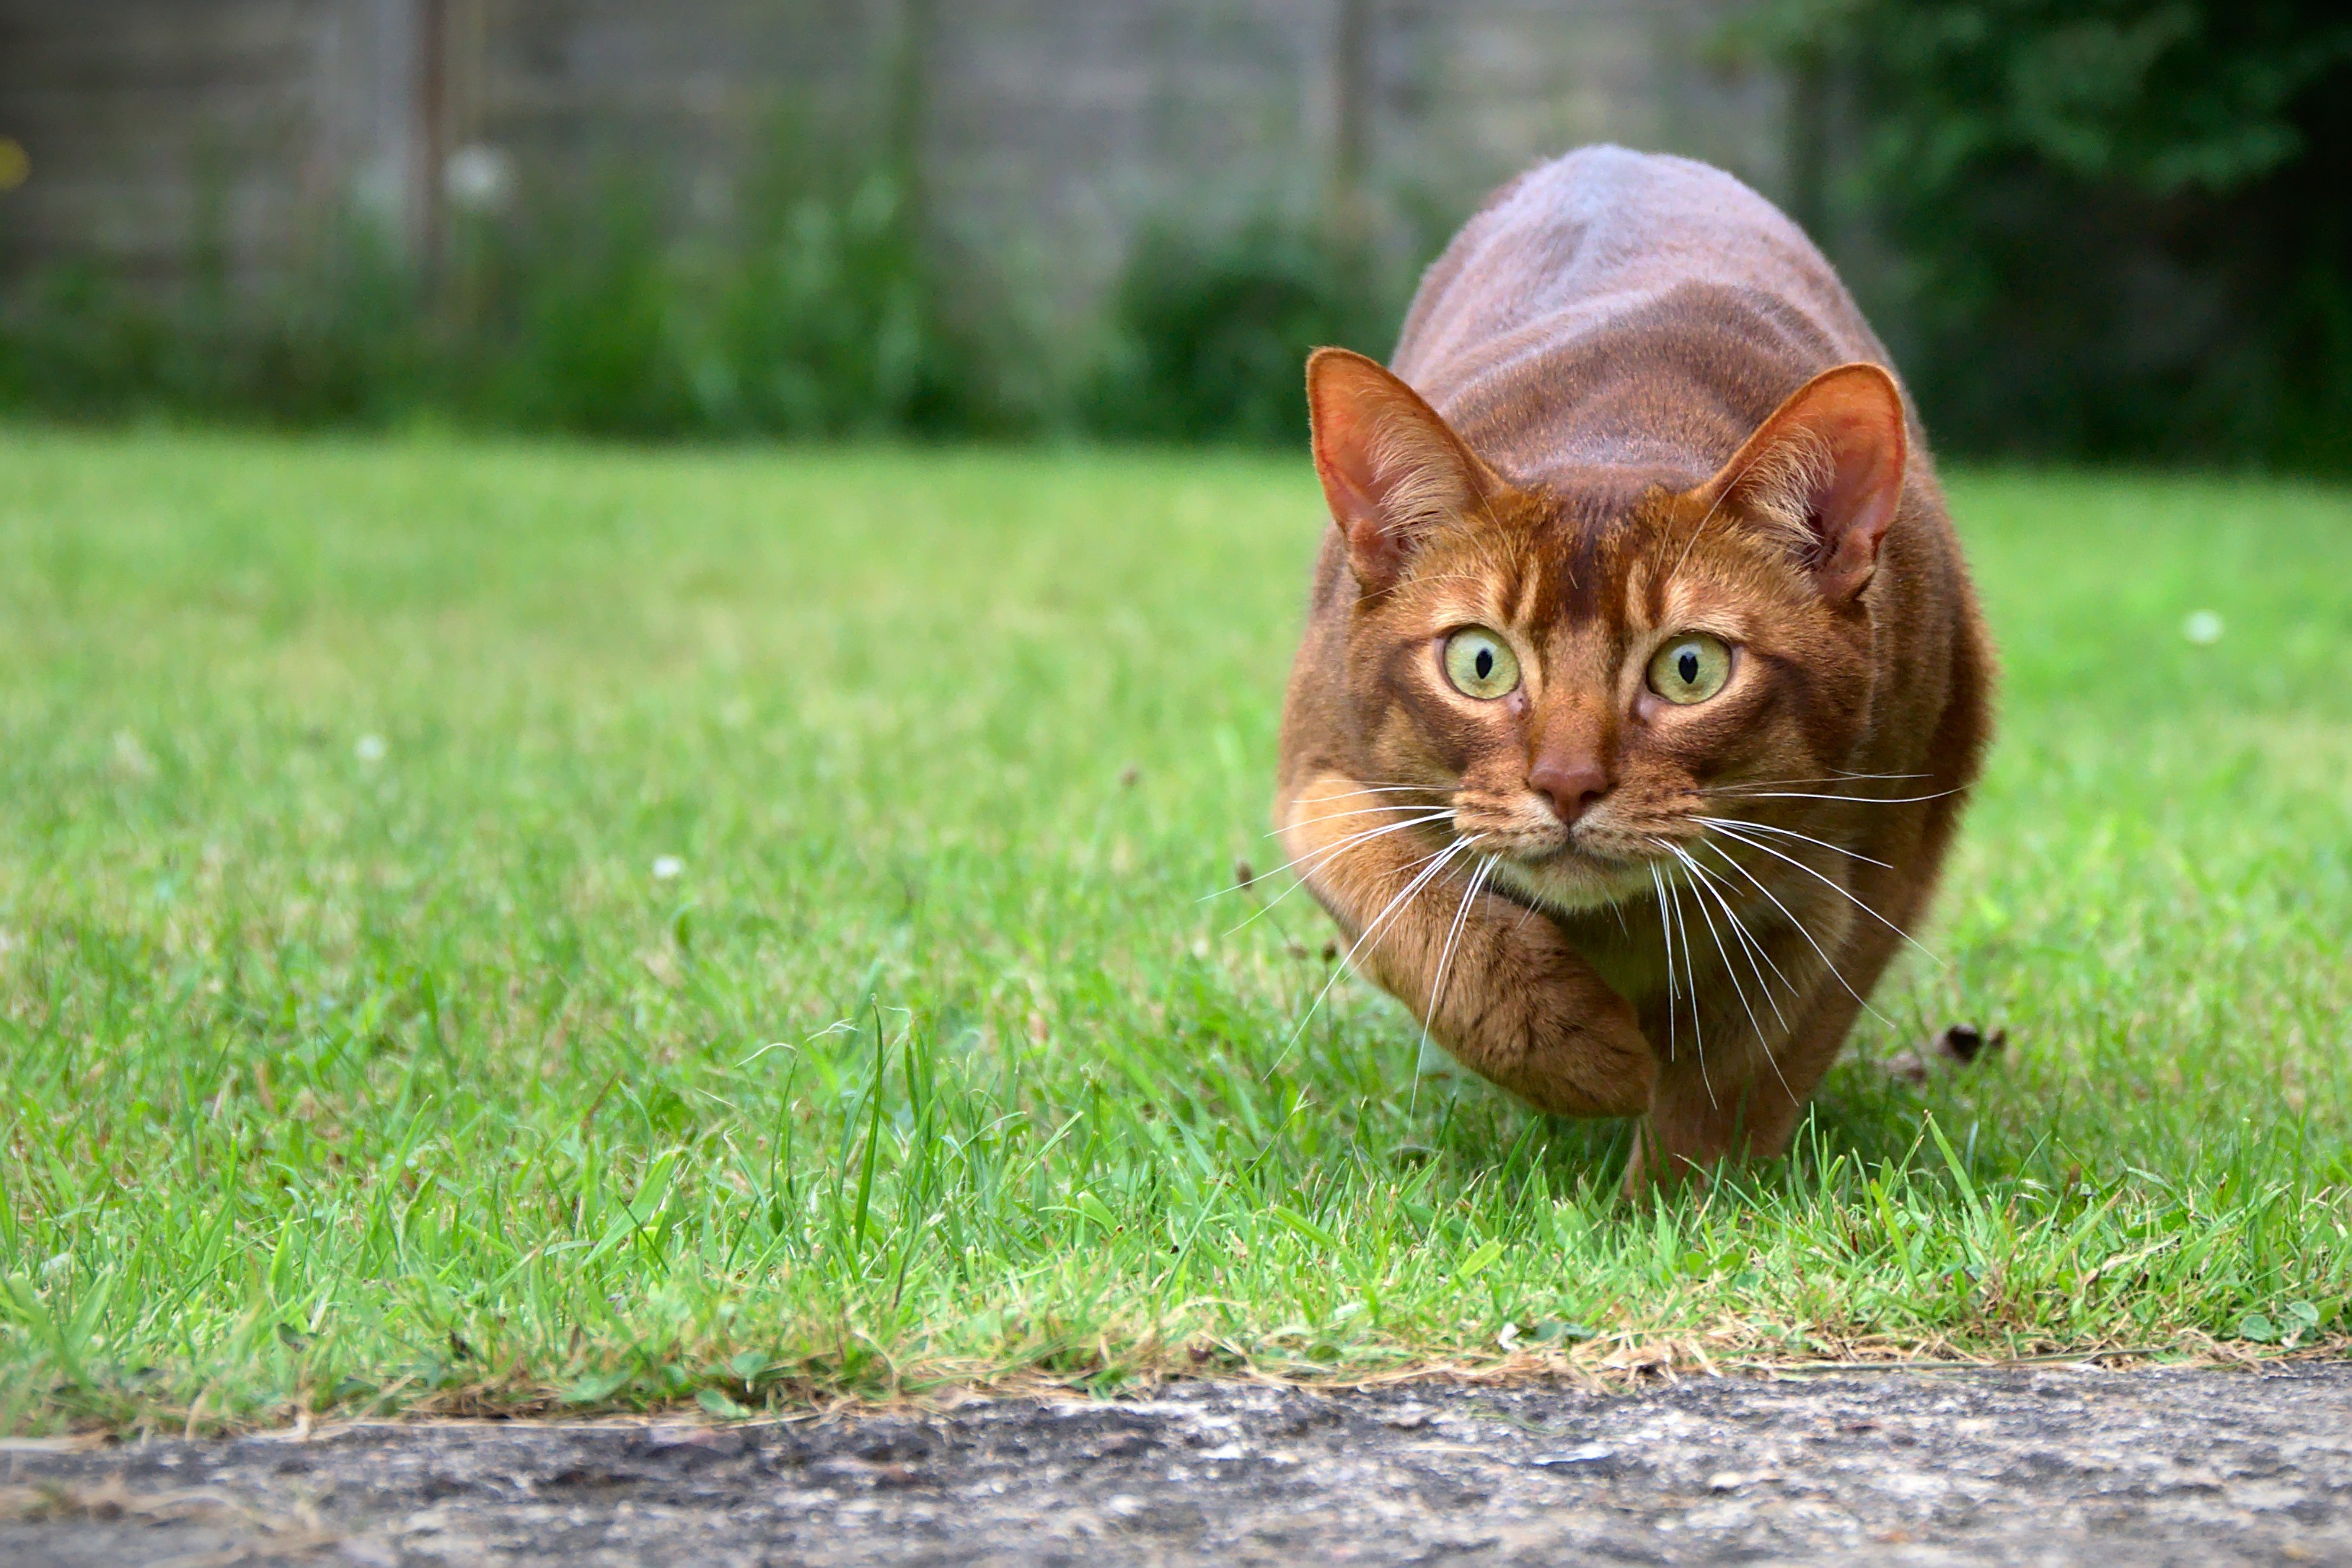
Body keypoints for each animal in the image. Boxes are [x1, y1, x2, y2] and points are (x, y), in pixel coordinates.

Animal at [1279, 146, 1994, 1189]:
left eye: (1690, 668)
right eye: (1481, 662)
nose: (1568, 784)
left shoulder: (1891, 838)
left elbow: (1746, 1064)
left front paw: (1673, 1204)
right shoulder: (1315, 771)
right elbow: (1412, 913)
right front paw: (1581, 1053)